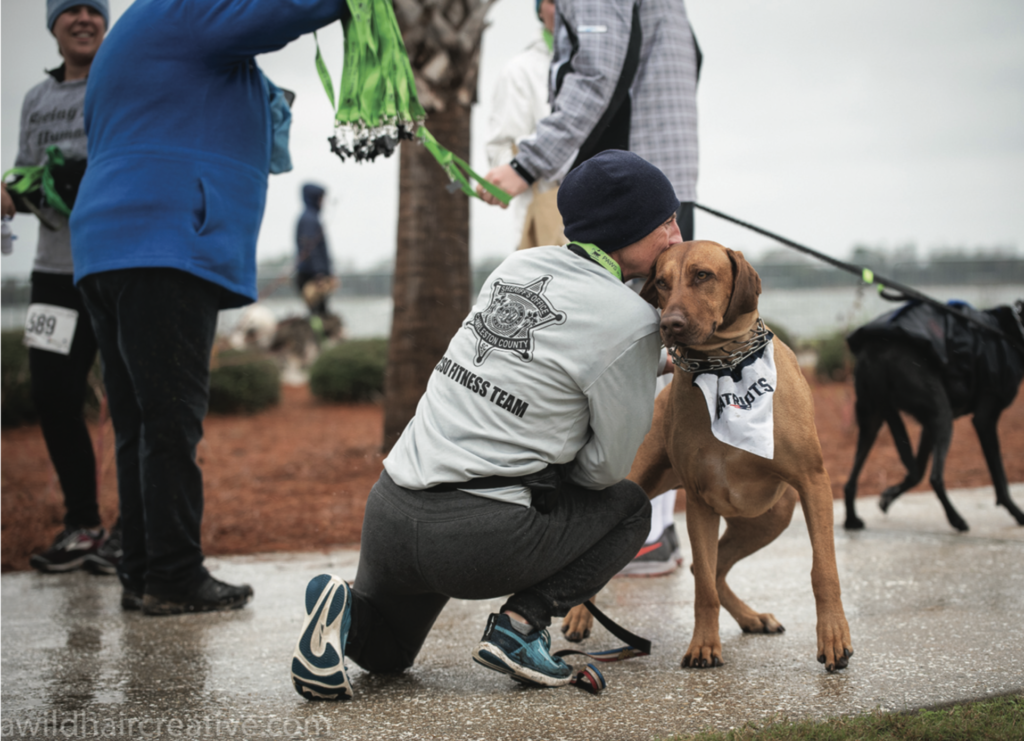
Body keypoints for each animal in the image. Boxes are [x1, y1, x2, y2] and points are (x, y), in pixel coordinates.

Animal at [565, 238, 851, 671]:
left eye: (703, 275)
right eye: (662, 282)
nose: (670, 324)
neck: (724, 367)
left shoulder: (813, 482)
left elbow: (824, 570)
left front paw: (834, 637)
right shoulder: (700, 502)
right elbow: (703, 589)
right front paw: (703, 645)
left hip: (769, 519)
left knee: (714, 569)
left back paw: (751, 617)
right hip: (635, 482)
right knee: (701, 570)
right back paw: (580, 615)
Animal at [843, 300, 1019, 532]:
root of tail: (878, 351)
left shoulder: (927, 427)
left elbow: (916, 472)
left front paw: (888, 497)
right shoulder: (985, 419)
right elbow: (1000, 479)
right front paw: (1017, 513)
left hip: (873, 418)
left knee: (852, 480)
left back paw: (852, 520)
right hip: (942, 417)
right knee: (935, 477)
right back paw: (956, 520)